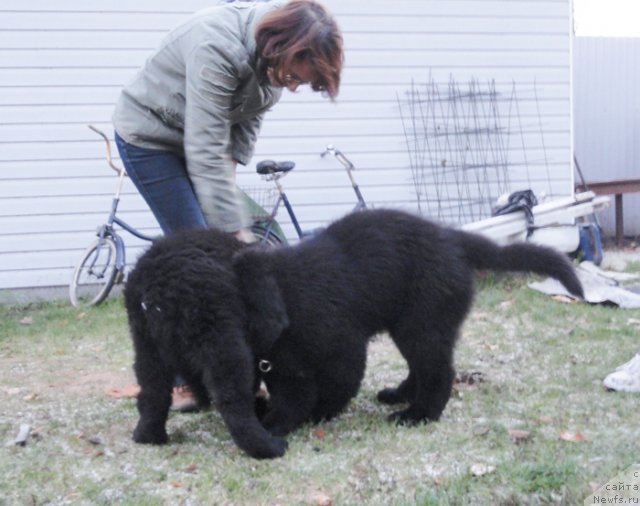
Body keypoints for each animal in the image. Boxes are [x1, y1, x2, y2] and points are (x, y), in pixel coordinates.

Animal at [123, 231, 288, 460]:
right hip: (221, 338)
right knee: (232, 399)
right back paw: (267, 446)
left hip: (147, 343)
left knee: (153, 391)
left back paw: (148, 435)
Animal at [232, 208, 584, 436]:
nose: (266, 423)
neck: (286, 289)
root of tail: (454, 239)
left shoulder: (344, 346)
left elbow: (336, 385)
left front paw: (313, 413)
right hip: (412, 325)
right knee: (421, 367)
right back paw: (400, 396)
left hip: (422, 323)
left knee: (438, 372)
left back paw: (419, 415)